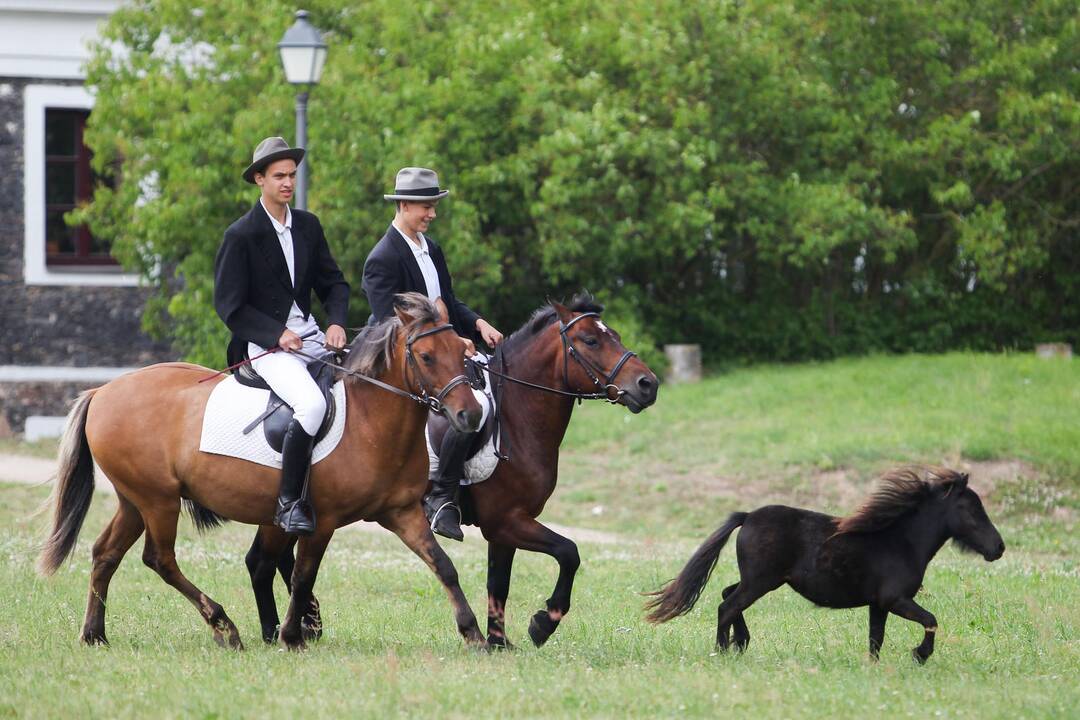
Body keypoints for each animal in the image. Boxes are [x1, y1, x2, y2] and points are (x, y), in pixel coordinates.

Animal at [38, 289, 486, 651]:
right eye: (426, 356)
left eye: (462, 351)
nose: (470, 415)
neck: (369, 420)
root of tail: (103, 391)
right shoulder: (321, 521)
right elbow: (304, 576)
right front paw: (291, 636)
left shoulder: (402, 513)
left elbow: (443, 565)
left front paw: (474, 635)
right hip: (158, 501)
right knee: (159, 559)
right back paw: (224, 626)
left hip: (135, 500)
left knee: (106, 554)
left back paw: (95, 634)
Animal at [253, 293, 660, 647]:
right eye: (591, 340)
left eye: (615, 335)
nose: (648, 385)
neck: (519, 417)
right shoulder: (507, 520)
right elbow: (569, 552)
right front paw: (543, 623)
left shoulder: (504, 528)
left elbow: (499, 583)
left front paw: (498, 641)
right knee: (269, 561)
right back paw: (287, 629)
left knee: (266, 560)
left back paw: (288, 627)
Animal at [639, 468, 1002, 664]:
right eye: (971, 509)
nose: (998, 548)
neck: (902, 542)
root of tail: (748, 516)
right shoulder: (896, 600)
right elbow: (931, 621)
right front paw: (919, 655)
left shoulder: (879, 604)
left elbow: (876, 639)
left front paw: (874, 668)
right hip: (761, 582)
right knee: (727, 606)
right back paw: (723, 650)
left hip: (758, 580)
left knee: (727, 595)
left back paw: (740, 642)